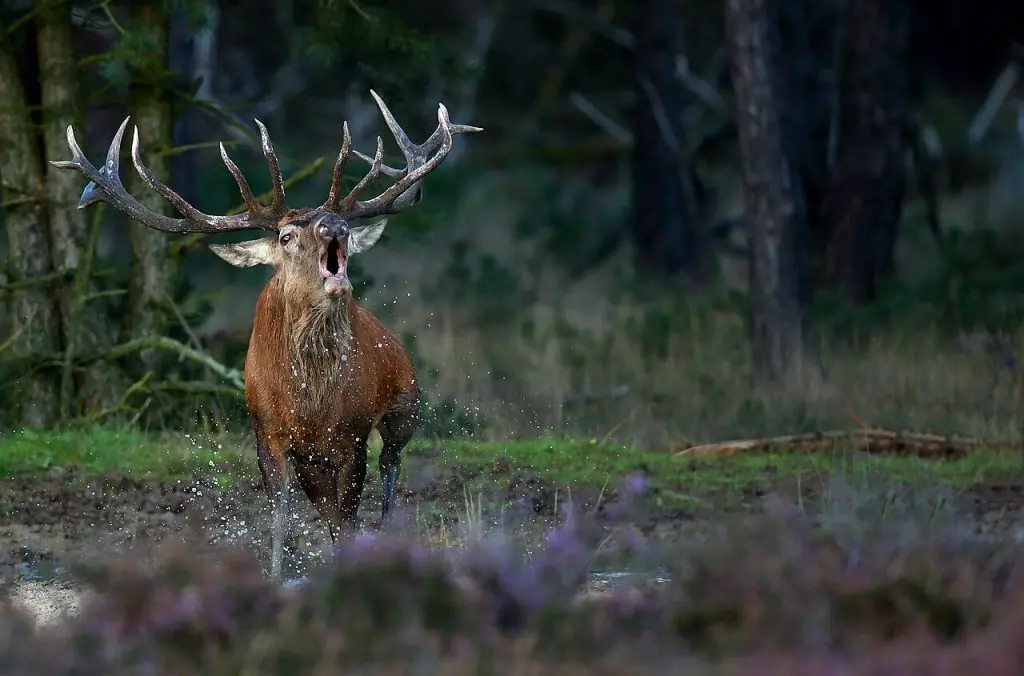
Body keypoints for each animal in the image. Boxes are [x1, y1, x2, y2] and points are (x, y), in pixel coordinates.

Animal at [50, 91, 482, 578]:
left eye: (337, 223)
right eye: (286, 235)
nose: (335, 226)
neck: (310, 404)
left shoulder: (352, 434)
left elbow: (348, 515)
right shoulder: (267, 431)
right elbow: (282, 507)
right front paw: (277, 573)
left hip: (405, 407)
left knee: (389, 466)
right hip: (318, 456)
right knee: (329, 501)